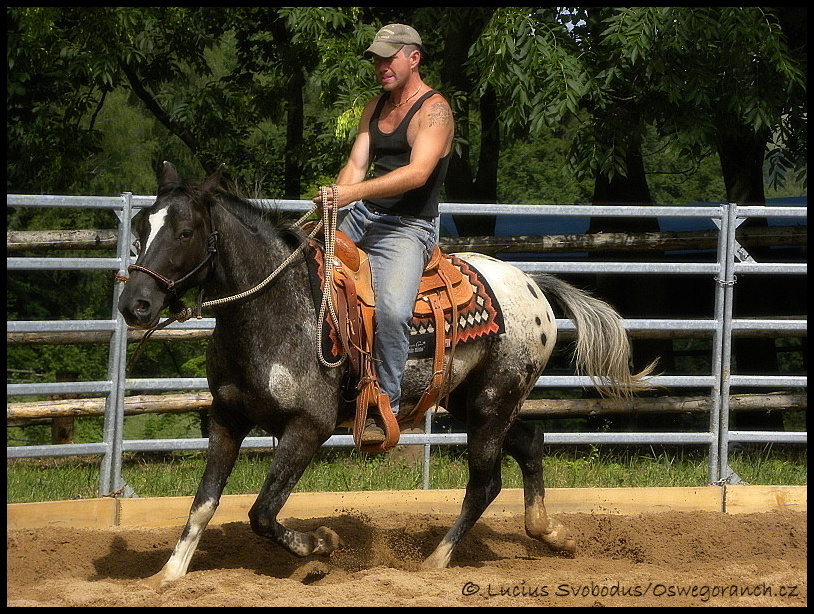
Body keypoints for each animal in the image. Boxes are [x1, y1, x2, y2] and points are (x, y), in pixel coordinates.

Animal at [118, 162, 656, 588]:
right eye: (142, 227)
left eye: (185, 231)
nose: (134, 305)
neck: (275, 308)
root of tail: (531, 283)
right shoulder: (227, 418)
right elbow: (204, 502)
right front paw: (169, 573)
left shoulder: (308, 427)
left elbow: (262, 513)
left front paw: (322, 545)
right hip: (472, 401)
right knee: (530, 442)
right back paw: (551, 534)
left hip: (491, 402)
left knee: (484, 482)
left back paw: (436, 560)